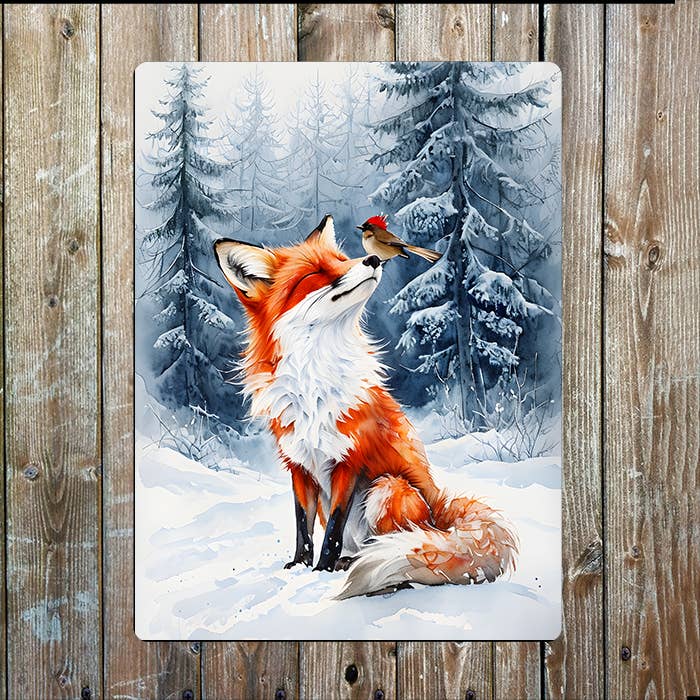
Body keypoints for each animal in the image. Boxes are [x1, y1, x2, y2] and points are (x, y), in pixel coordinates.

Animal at [213, 215, 518, 598]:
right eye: (315, 273)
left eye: (343, 260)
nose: (373, 260)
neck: (314, 384)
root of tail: (439, 511)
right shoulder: (299, 466)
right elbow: (303, 528)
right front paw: (299, 567)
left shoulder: (349, 460)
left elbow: (331, 532)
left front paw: (321, 571)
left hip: (388, 488)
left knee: (403, 547)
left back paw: (382, 573)